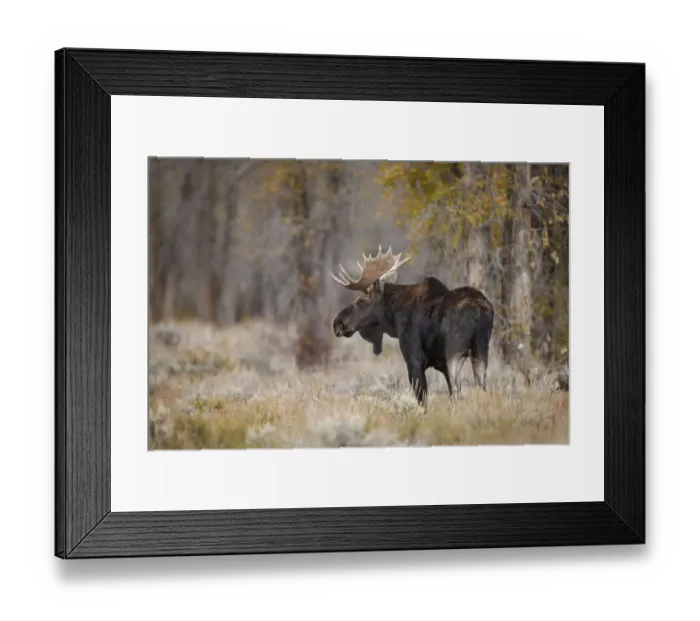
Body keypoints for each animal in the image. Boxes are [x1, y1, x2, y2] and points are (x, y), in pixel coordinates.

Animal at [331, 246, 494, 408]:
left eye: (362, 301)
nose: (337, 323)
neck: (393, 316)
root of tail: (479, 311)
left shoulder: (414, 361)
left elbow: (423, 402)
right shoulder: (442, 366)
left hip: (456, 352)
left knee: (459, 390)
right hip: (480, 350)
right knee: (480, 388)